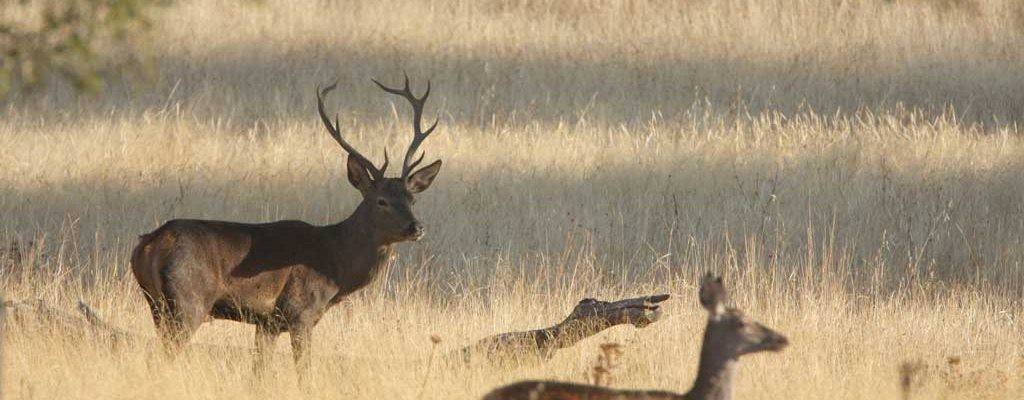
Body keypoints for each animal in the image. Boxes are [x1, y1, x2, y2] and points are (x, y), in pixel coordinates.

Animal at [130, 75, 442, 376]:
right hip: (187, 301)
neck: (336, 265)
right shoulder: (300, 312)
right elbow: (304, 373)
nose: (416, 227)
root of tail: (150, 244)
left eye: (412, 198)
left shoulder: (267, 323)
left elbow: (259, 374)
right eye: (381, 201)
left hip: (157, 305)